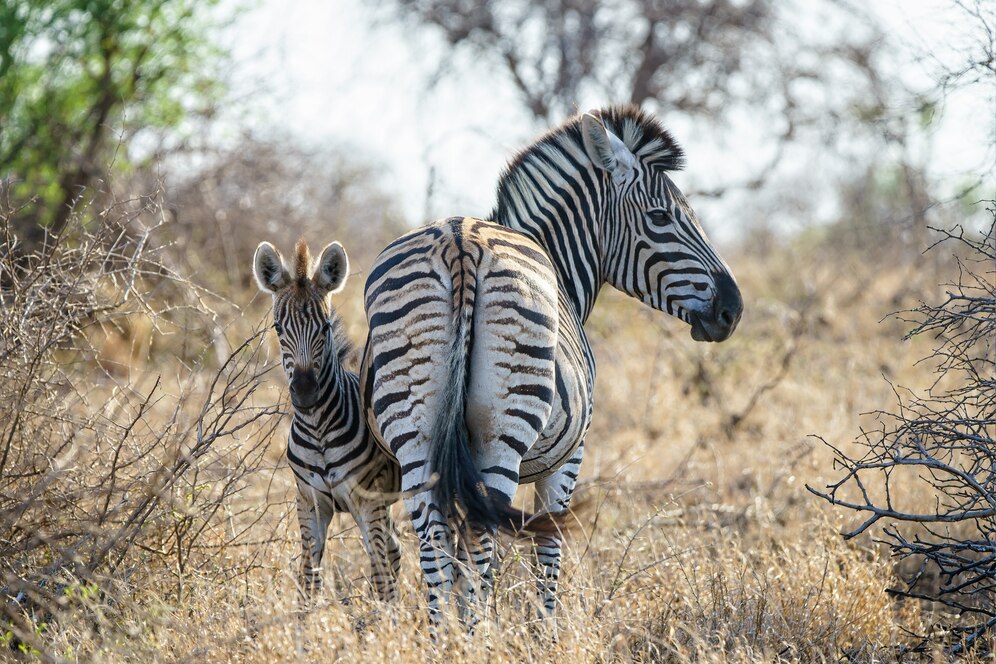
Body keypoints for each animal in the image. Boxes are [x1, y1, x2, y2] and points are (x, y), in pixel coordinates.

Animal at [255, 240, 402, 608]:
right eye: (278, 329)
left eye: (325, 328)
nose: (306, 393)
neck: (319, 429)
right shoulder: (309, 501)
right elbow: (308, 579)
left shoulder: (367, 501)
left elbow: (380, 576)